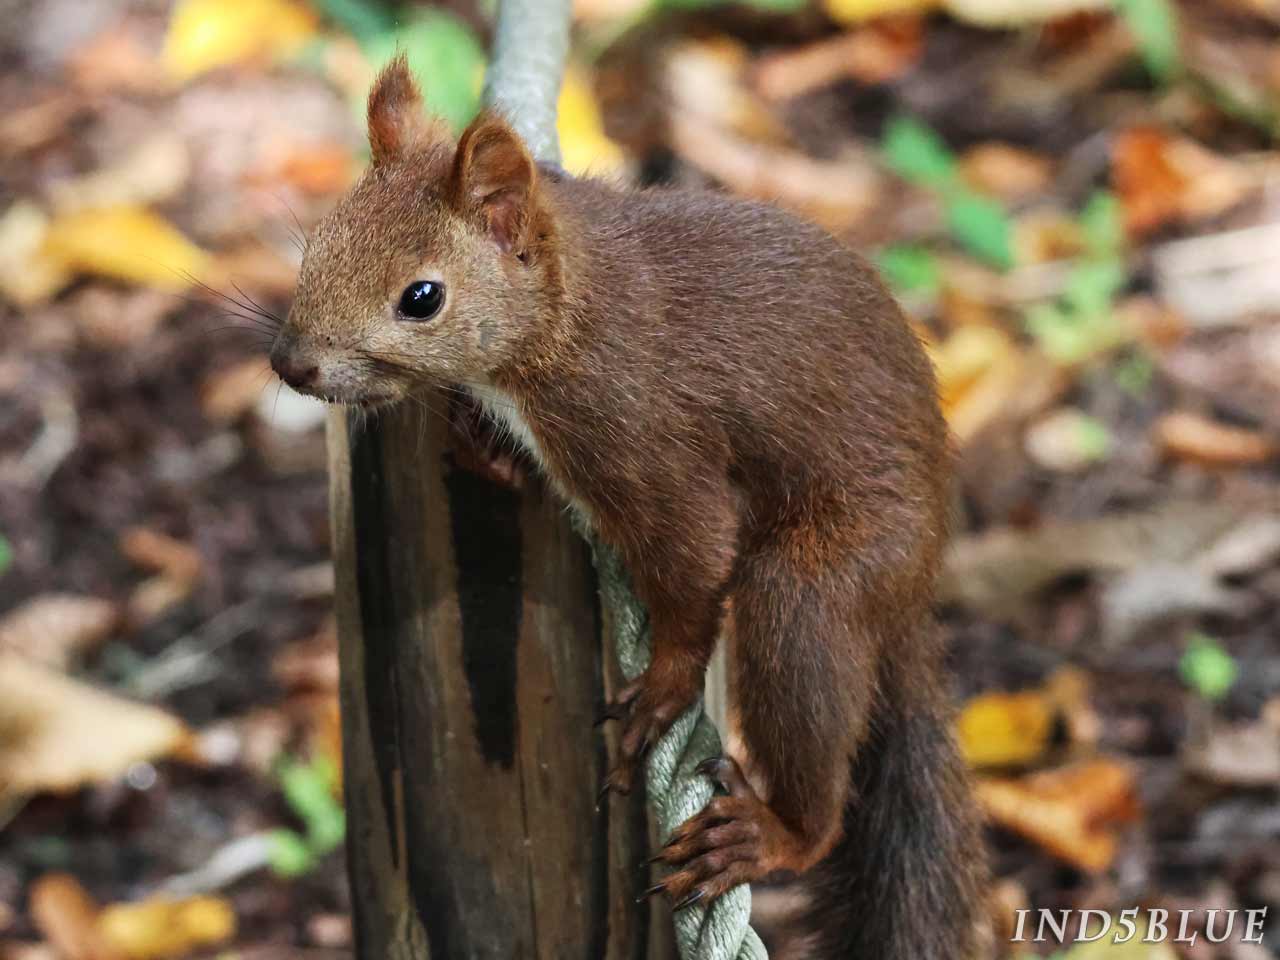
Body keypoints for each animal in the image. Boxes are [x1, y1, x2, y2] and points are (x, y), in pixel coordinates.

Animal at [270, 56, 988, 957]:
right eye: (317, 244)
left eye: (422, 297)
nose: (290, 364)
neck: (564, 314)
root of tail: (916, 586)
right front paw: (472, 437)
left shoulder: (644, 436)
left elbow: (693, 563)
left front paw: (664, 687)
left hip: (827, 577)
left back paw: (773, 832)